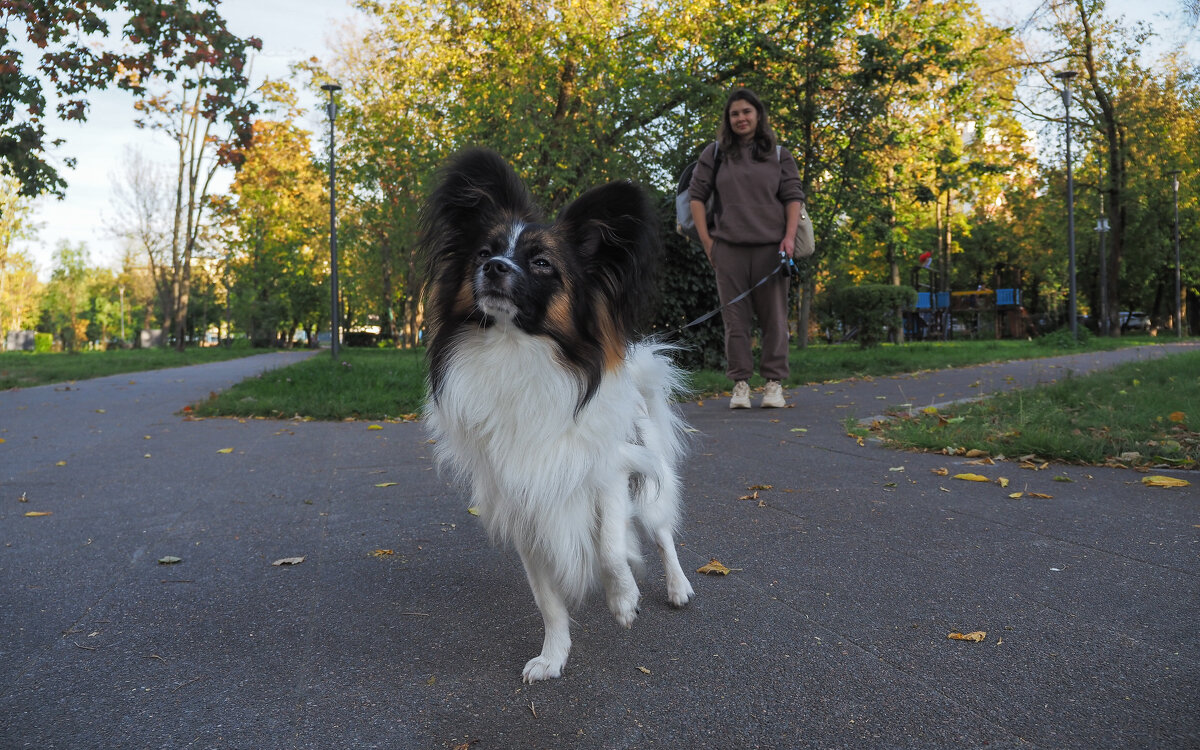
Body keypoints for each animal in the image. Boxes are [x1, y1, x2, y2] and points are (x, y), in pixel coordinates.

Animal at [424, 149, 696, 681]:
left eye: (541, 263)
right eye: (483, 254)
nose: (495, 268)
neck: (516, 354)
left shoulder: (610, 473)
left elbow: (610, 548)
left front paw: (624, 599)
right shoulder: (525, 505)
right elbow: (547, 598)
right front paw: (553, 657)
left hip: (649, 477)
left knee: (661, 532)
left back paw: (676, 586)